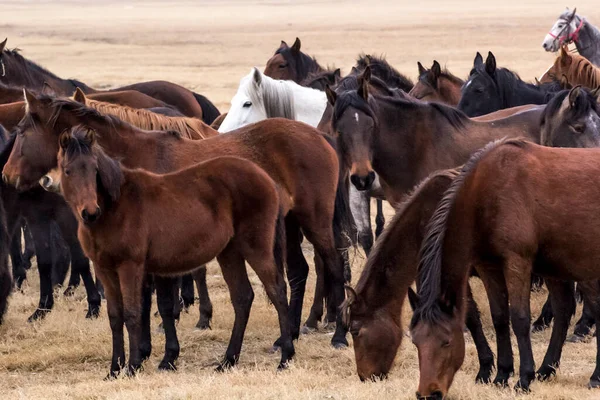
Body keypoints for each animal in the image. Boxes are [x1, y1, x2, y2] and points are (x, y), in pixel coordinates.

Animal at [1, 90, 352, 350]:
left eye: (21, 133)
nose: (7, 175)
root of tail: (320, 137)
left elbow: (162, 302)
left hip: (314, 219)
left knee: (334, 265)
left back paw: (338, 334)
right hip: (289, 224)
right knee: (299, 271)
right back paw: (287, 335)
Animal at [57, 126, 292, 376]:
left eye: (94, 170)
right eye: (68, 170)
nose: (90, 212)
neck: (115, 208)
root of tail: (266, 179)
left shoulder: (130, 267)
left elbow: (132, 314)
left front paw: (133, 366)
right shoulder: (104, 269)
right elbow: (115, 316)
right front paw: (114, 370)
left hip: (256, 249)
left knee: (277, 291)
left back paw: (285, 357)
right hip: (230, 253)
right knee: (242, 298)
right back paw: (227, 361)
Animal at [410, 138, 600, 396]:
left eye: (446, 340)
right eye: (416, 342)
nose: (428, 393)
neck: (487, 192)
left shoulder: (516, 262)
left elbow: (519, 318)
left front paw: (524, 378)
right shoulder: (488, 266)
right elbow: (500, 318)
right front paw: (502, 375)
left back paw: (594, 376)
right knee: (564, 309)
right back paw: (547, 369)